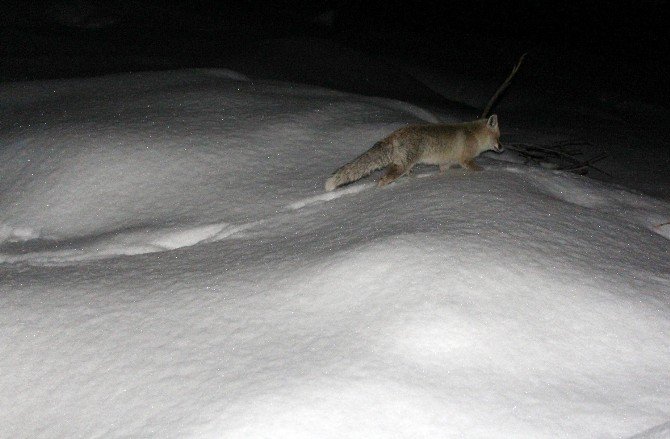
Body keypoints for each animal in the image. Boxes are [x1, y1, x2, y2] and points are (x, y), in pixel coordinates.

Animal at [326, 116, 504, 192]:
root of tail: (395, 134)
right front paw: (486, 173)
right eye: (499, 137)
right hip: (401, 168)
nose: (502, 148)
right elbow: (477, 169)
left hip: (405, 167)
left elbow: (443, 171)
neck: (474, 135)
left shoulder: (445, 164)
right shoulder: (466, 160)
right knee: (383, 180)